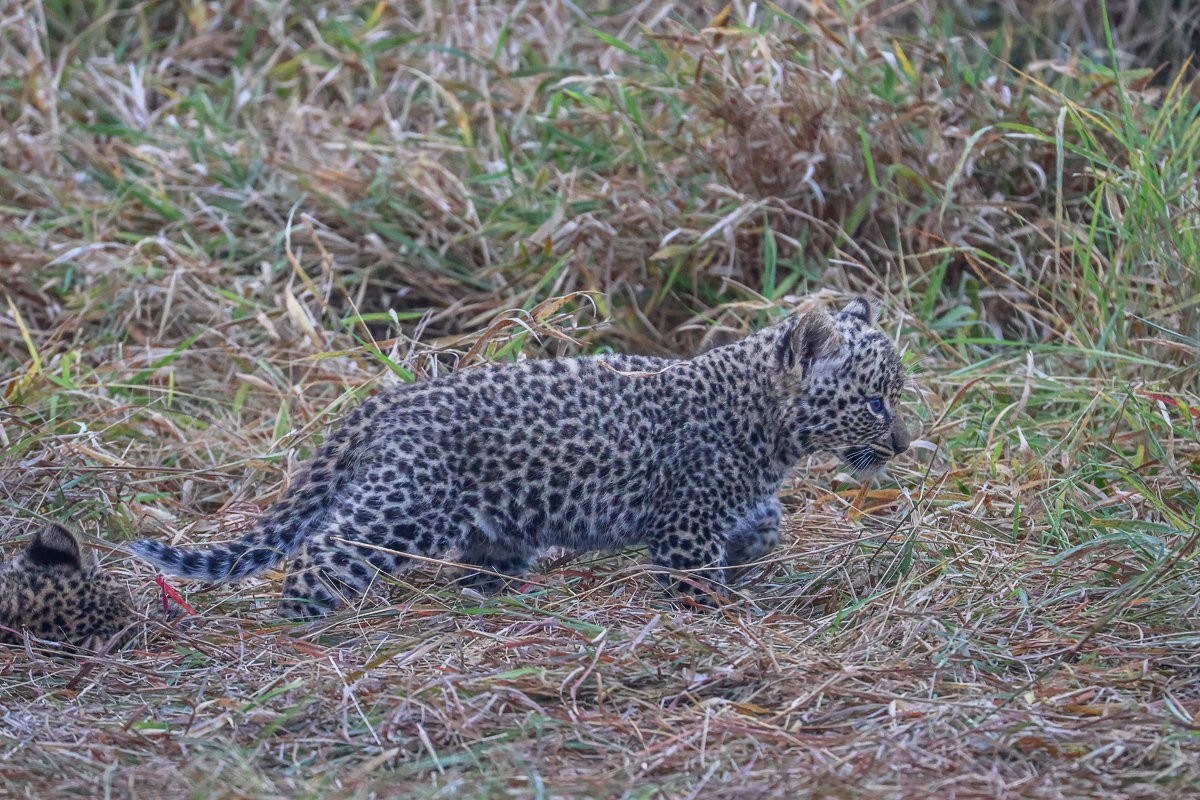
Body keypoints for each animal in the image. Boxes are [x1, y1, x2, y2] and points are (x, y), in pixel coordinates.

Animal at [132, 296, 911, 620]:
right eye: (876, 402)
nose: (904, 444)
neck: (771, 431)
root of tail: (386, 403)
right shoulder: (684, 524)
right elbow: (693, 578)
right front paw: (715, 617)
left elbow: (766, 524)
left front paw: (750, 561)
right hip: (406, 506)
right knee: (324, 551)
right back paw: (305, 622)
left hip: (494, 523)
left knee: (477, 566)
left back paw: (490, 599)